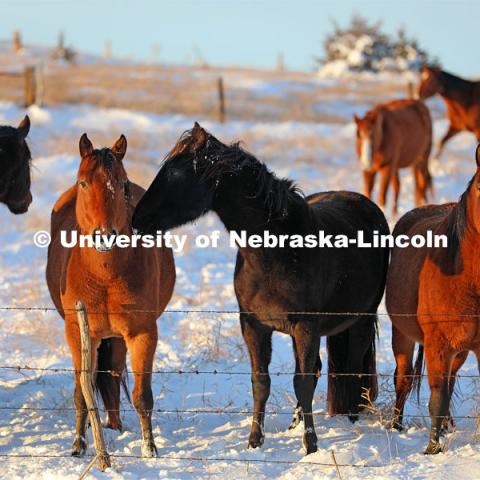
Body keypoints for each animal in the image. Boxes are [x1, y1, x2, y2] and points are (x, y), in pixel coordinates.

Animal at [45, 133, 175, 456]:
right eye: (83, 182)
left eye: (123, 184)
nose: (104, 236)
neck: (105, 276)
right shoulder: (79, 333)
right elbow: (82, 393)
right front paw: (78, 445)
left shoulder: (142, 333)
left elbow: (142, 396)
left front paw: (149, 449)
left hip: (117, 336)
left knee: (114, 372)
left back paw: (115, 426)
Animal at [132, 122, 390, 456]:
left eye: (175, 173)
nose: (136, 219)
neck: (276, 251)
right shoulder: (254, 325)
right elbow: (261, 382)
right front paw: (255, 440)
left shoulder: (305, 327)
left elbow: (302, 382)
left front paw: (311, 445)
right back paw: (295, 422)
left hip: (360, 320)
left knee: (353, 367)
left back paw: (351, 419)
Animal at [386, 144, 480, 456]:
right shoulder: (438, 344)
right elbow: (436, 399)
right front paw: (432, 450)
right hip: (403, 336)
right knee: (403, 379)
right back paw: (395, 425)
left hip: (459, 351)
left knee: (449, 382)